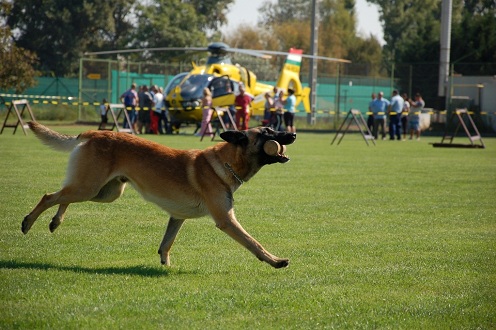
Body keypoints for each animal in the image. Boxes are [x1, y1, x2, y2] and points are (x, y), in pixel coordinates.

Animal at [22, 122, 294, 270]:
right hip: (89, 188)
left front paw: (166, 264)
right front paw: (275, 261)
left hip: (104, 192)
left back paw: (56, 221)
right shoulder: (226, 220)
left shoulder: (177, 217)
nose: (292, 135)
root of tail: (94, 133)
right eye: (268, 132)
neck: (225, 163)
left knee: (62, 195)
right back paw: (27, 222)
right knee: (49, 196)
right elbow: (253, 242)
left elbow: (166, 244)